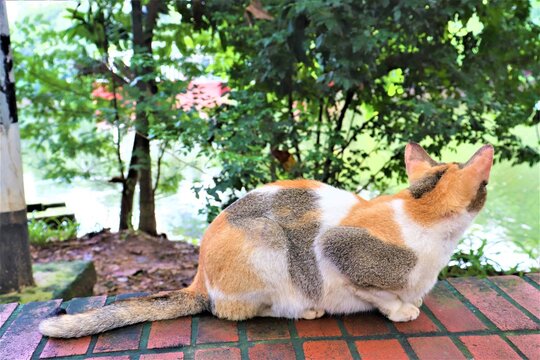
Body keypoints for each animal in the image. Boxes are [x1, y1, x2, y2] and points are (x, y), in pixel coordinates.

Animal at [38, 143, 494, 338]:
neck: (417, 209)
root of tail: (199, 277)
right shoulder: (337, 249)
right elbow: (376, 292)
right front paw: (401, 309)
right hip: (268, 242)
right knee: (232, 311)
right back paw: (305, 310)